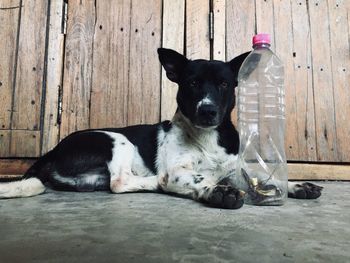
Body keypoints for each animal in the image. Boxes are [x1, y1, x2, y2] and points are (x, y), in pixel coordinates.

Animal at [0, 48, 322, 209]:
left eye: (223, 84)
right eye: (192, 83)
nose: (207, 110)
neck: (207, 138)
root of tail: (50, 152)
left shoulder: (234, 168)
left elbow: (257, 178)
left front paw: (292, 186)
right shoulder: (180, 170)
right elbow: (199, 178)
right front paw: (216, 191)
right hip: (116, 139)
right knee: (120, 182)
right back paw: (158, 182)